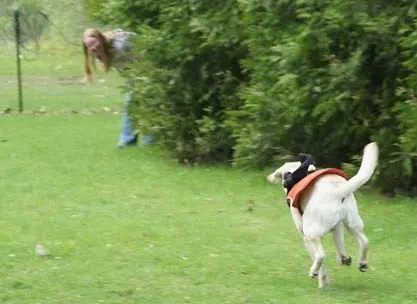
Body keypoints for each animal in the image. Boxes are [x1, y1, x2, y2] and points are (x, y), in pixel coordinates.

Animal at [266, 142, 376, 288]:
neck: (298, 172)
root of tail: (338, 191)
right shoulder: (337, 227)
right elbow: (339, 243)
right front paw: (343, 258)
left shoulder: (306, 237)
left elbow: (320, 262)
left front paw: (322, 280)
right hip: (353, 225)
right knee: (365, 241)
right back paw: (362, 263)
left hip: (311, 233)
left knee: (321, 255)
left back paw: (314, 272)